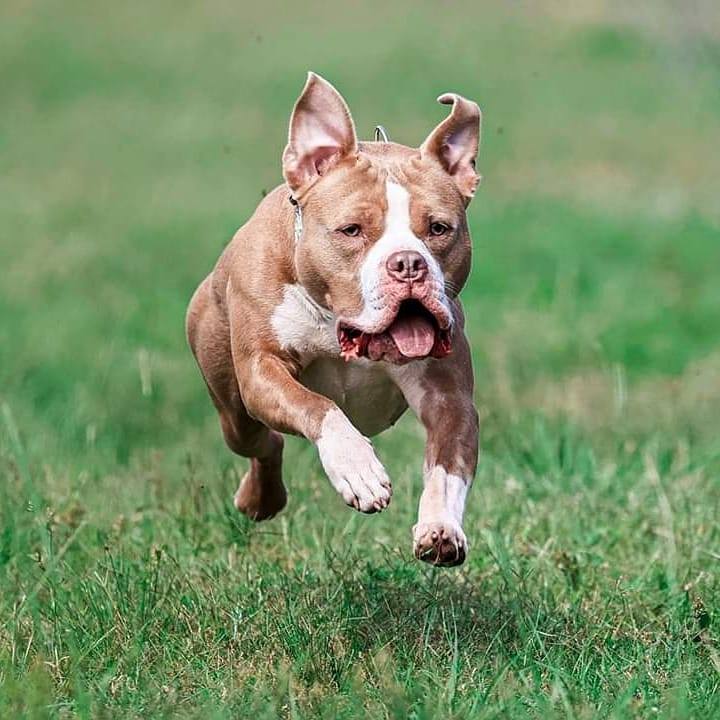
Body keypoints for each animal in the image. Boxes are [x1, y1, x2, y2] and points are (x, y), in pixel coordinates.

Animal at [186, 73, 480, 568]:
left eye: (439, 228)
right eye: (352, 230)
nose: (408, 264)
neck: (339, 327)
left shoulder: (449, 397)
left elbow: (446, 467)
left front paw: (440, 529)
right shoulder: (262, 370)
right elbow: (317, 406)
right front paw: (357, 468)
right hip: (232, 405)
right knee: (263, 441)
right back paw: (259, 500)